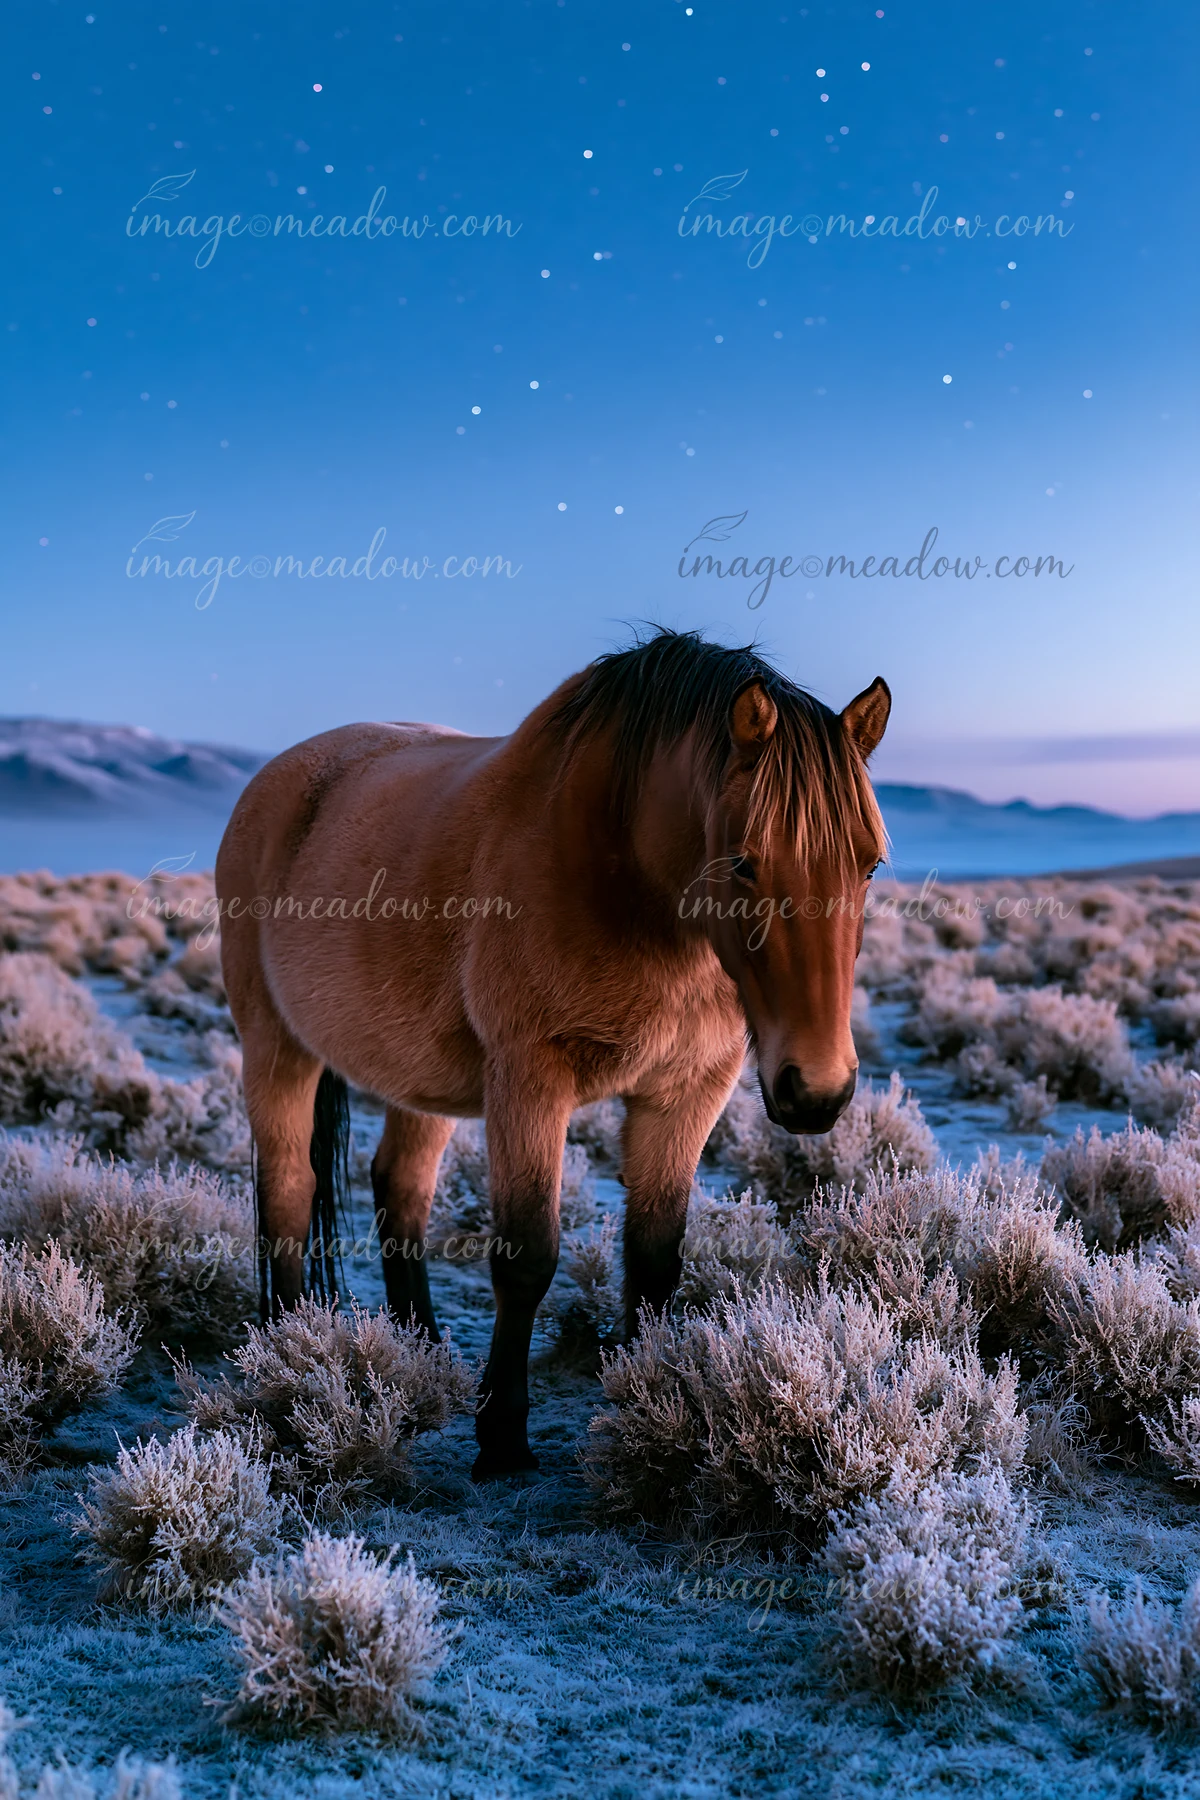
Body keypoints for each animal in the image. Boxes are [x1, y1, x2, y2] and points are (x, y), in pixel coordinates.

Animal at [216, 628, 890, 1478]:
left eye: (869, 863)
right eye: (743, 862)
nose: (818, 1091)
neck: (621, 872)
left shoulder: (686, 1091)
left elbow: (656, 1255)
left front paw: (648, 1403)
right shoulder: (530, 1079)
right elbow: (528, 1256)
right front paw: (503, 1438)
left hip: (415, 1076)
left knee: (400, 1187)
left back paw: (420, 1348)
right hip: (276, 1042)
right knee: (288, 1190)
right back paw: (286, 1344)